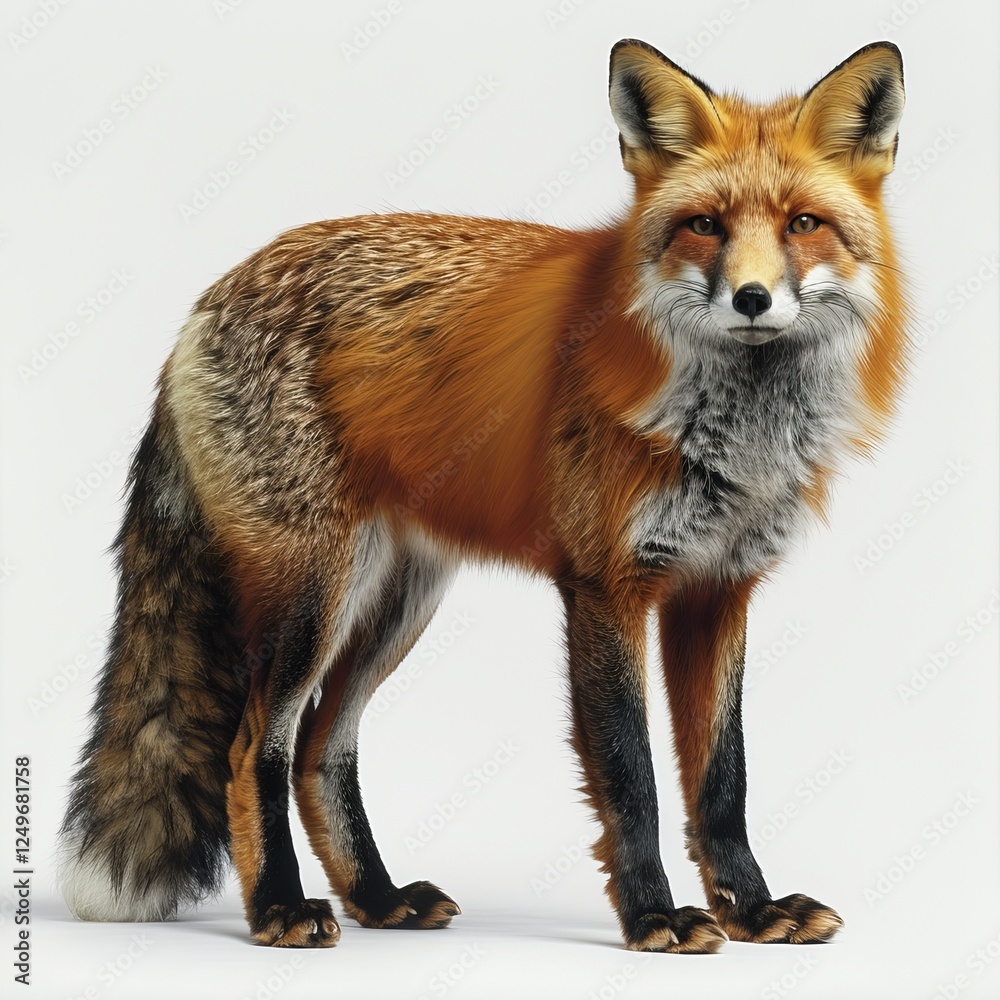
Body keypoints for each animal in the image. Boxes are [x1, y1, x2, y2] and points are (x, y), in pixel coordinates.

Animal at [59, 38, 908, 953]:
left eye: (803, 225)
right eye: (704, 225)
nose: (753, 299)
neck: (733, 429)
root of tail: (206, 299)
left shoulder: (717, 590)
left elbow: (724, 780)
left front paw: (751, 910)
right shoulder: (605, 586)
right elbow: (632, 776)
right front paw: (653, 914)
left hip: (396, 602)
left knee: (323, 746)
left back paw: (378, 897)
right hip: (314, 595)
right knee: (256, 747)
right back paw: (281, 907)